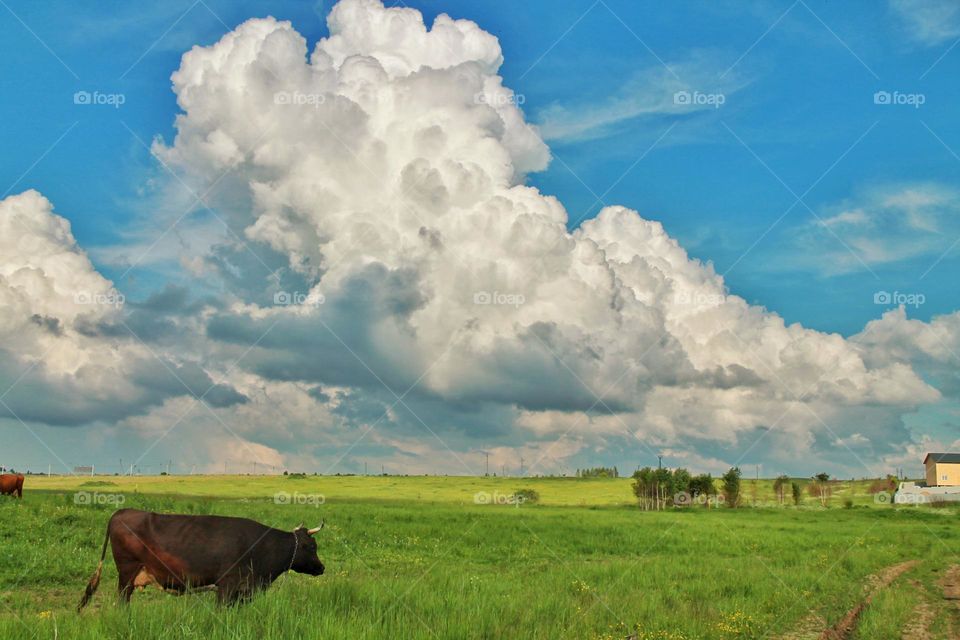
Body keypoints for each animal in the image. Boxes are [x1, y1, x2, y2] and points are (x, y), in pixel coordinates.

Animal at [79, 510, 326, 608]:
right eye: (313, 547)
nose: (322, 568)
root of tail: (121, 512)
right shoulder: (227, 586)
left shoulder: (243, 591)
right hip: (127, 572)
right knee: (122, 600)